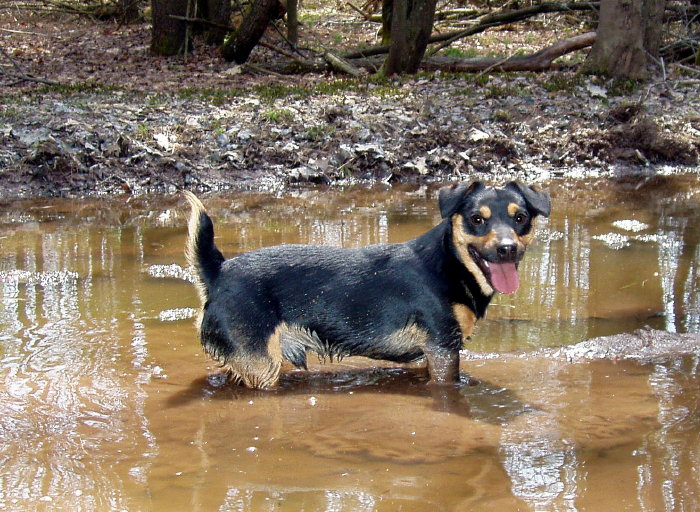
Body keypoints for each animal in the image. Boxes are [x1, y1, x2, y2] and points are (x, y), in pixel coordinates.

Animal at [183, 182, 548, 390]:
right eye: (477, 219)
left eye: (520, 218)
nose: (507, 248)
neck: (450, 262)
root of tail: (218, 272)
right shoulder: (443, 348)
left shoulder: (432, 354)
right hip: (261, 365)